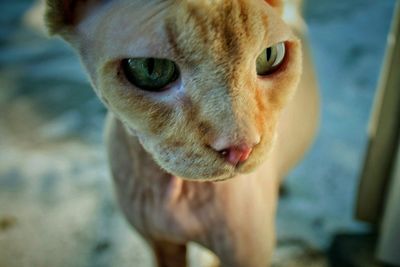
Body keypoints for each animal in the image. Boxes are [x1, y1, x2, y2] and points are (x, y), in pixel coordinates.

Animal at [44, 1, 318, 266]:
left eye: (270, 56)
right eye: (151, 68)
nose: (241, 148)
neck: (180, 195)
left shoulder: (247, 254)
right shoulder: (160, 243)